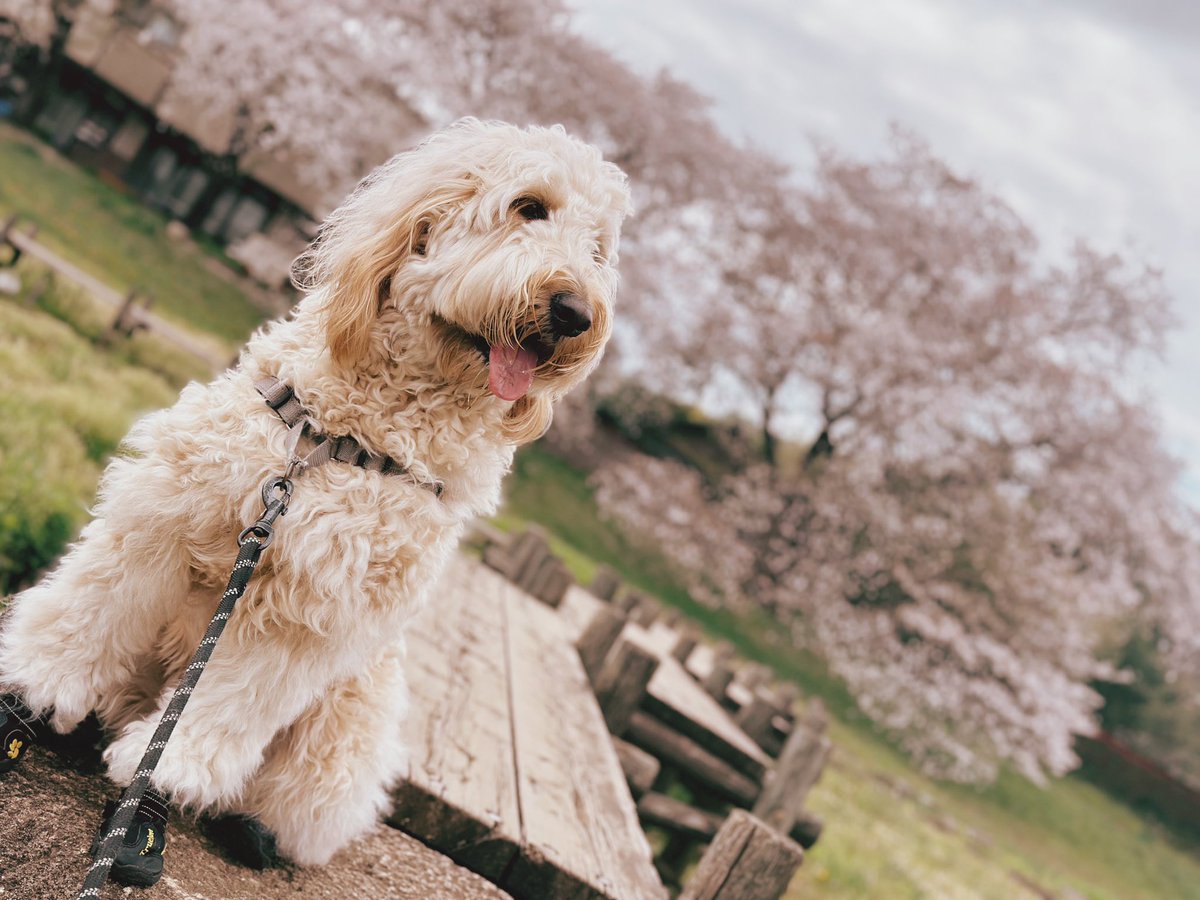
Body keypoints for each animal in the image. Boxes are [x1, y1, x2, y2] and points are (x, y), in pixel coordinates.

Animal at [0, 118, 633, 868]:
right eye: (529, 206)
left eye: (597, 250)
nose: (576, 312)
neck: (342, 437)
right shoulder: (166, 514)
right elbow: (89, 612)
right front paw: (34, 691)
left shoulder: (313, 609)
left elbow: (223, 701)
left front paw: (162, 777)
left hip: (349, 718)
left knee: (307, 804)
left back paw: (250, 828)